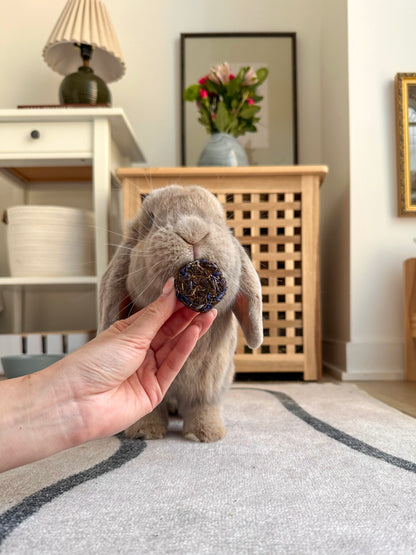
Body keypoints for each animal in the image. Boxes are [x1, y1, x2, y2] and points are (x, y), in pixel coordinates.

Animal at [97, 186, 262, 444]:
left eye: (220, 221)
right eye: (151, 221)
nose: (193, 232)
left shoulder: (209, 382)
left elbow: (203, 406)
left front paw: (205, 434)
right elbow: (150, 408)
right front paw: (145, 432)